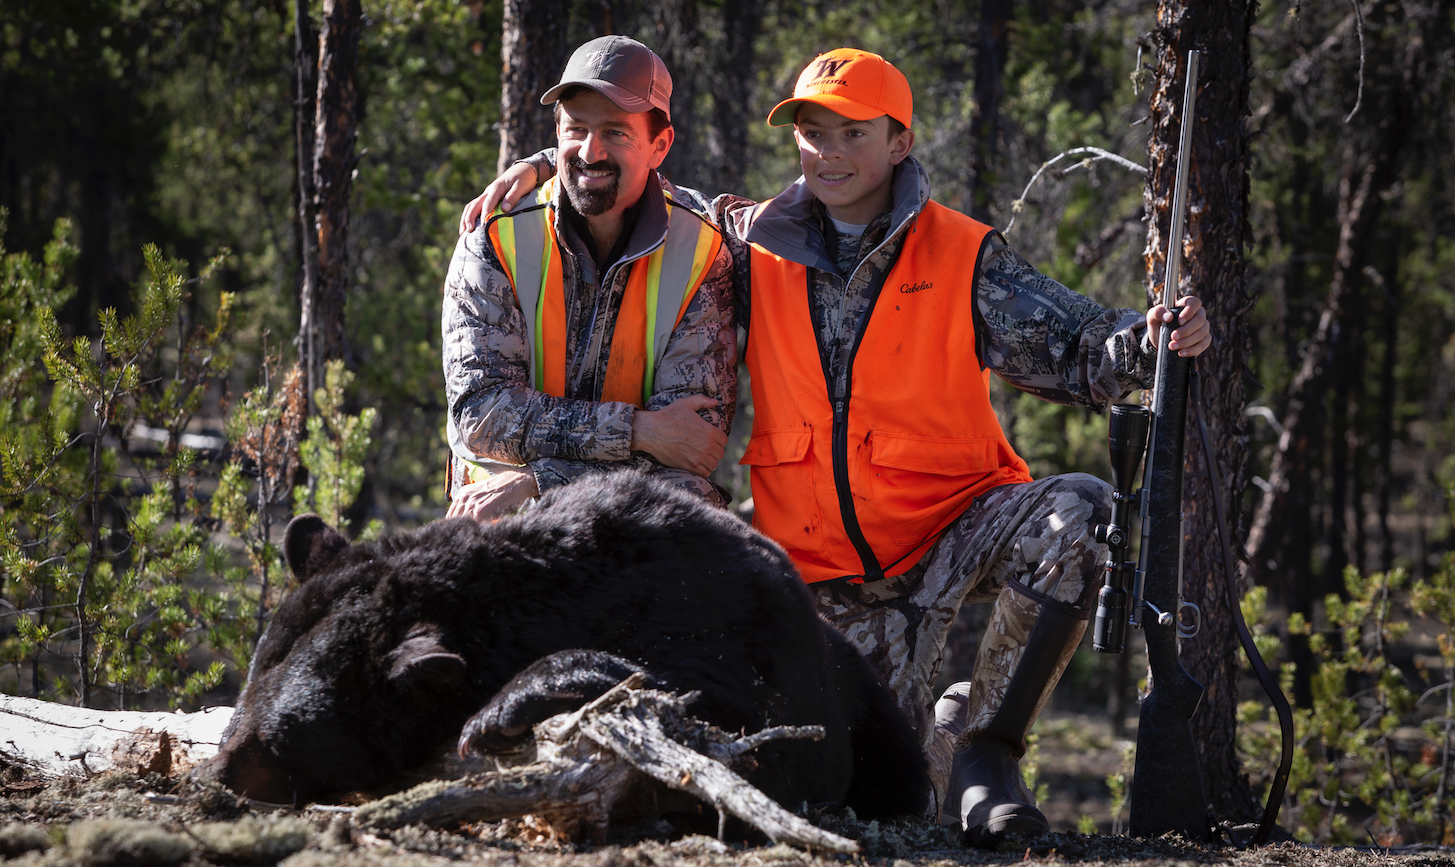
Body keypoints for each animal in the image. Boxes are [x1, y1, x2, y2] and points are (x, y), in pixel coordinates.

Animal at [193, 471, 925, 820]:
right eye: (250, 683)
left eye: (278, 741)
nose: (221, 768)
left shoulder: (735, 622)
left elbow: (764, 734)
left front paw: (500, 708)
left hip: (870, 703)